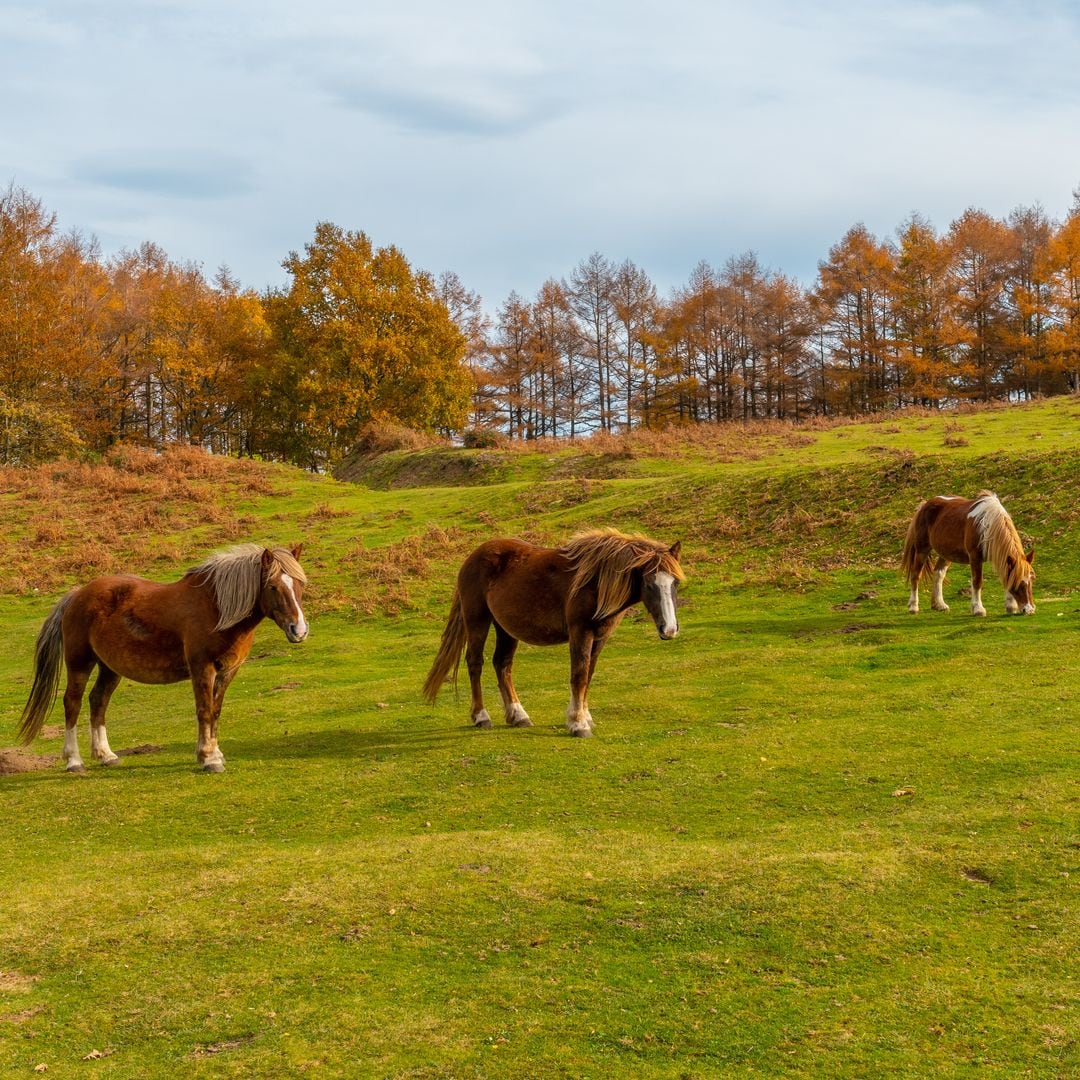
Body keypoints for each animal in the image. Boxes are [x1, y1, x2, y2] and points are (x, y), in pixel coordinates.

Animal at [18, 544, 308, 773]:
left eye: (300, 585)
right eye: (273, 587)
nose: (299, 630)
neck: (216, 609)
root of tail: (76, 594)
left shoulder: (227, 670)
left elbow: (215, 711)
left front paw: (213, 752)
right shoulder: (202, 667)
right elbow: (204, 710)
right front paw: (209, 759)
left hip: (110, 667)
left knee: (98, 701)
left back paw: (106, 756)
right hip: (80, 662)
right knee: (73, 703)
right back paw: (74, 761)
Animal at [422, 528, 683, 737]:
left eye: (675, 583)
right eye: (649, 583)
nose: (669, 630)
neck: (596, 581)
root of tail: (473, 557)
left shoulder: (600, 637)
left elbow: (589, 675)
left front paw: (584, 716)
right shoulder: (581, 632)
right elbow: (579, 675)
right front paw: (578, 724)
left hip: (505, 628)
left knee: (503, 665)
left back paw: (518, 715)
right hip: (477, 619)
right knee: (475, 663)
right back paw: (481, 716)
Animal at [901, 492, 1034, 616]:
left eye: (1031, 579)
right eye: (1018, 583)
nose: (1029, 610)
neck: (986, 524)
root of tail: (925, 505)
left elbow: (1005, 577)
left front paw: (1011, 606)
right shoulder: (975, 556)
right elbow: (977, 581)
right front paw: (978, 609)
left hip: (946, 554)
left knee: (938, 574)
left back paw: (939, 605)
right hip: (922, 549)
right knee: (915, 575)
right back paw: (913, 607)